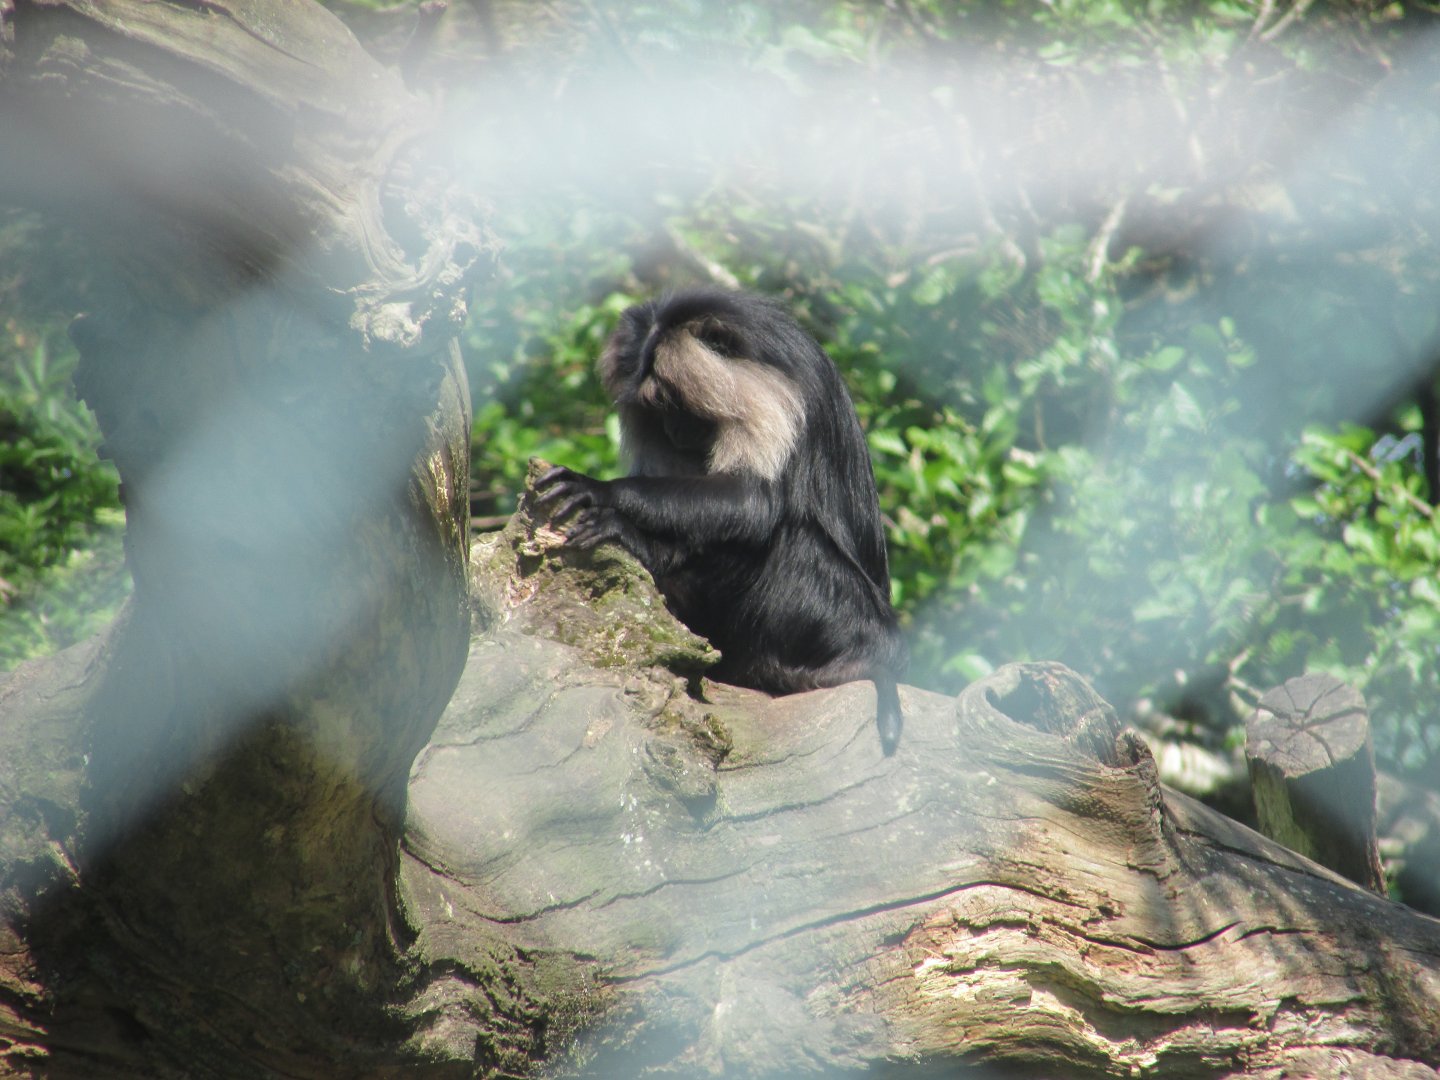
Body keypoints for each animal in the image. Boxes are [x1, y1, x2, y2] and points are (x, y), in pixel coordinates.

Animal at [536, 288, 908, 755]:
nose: (675, 431)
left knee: (787, 534)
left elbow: (754, 502)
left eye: (673, 401)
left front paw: (603, 494)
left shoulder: (773, 396)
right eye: (656, 410)